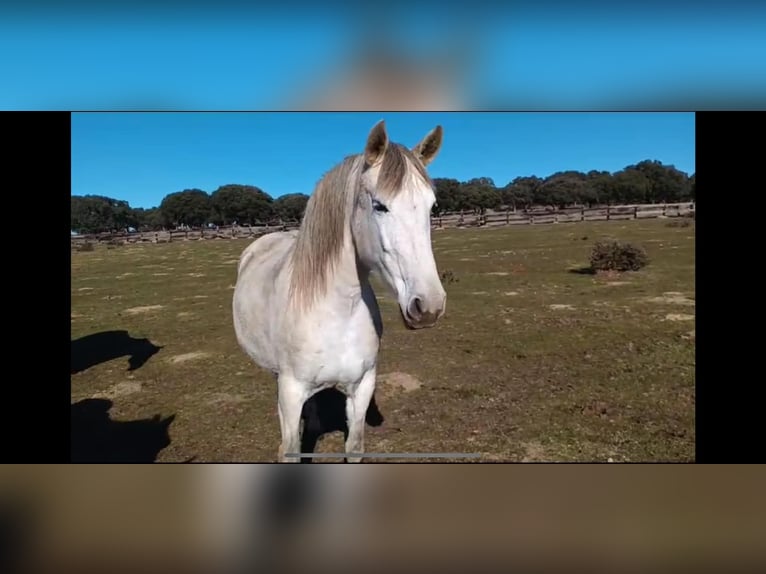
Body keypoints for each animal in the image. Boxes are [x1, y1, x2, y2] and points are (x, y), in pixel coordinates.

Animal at [236, 121, 450, 464]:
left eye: (432, 207)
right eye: (379, 205)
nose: (428, 305)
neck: (338, 311)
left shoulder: (362, 386)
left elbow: (354, 446)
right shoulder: (291, 390)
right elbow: (290, 448)